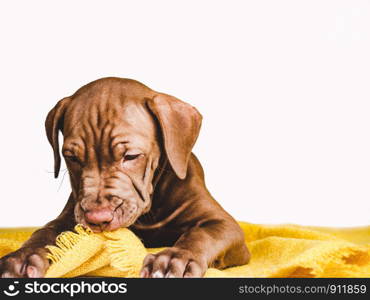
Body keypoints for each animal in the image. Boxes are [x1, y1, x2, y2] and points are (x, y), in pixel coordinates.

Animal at [0, 77, 250, 276]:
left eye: (130, 156)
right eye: (72, 158)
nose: (97, 219)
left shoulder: (223, 225)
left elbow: (201, 234)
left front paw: (176, 257)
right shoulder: (68, 218)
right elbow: (45, 232)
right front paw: (23, 255)